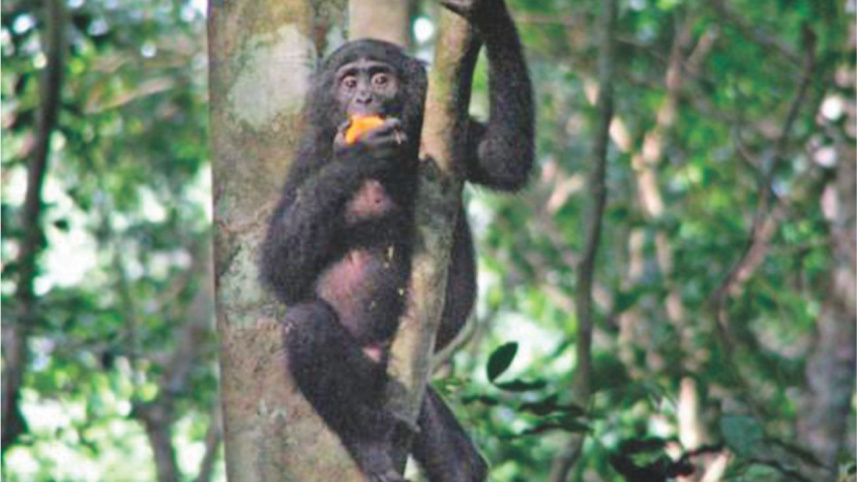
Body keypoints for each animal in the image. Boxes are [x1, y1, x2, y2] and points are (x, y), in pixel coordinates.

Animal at [259, 0, 533, 480]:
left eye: (380, 79)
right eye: (349, 81)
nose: (364, 99)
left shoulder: (455, 133)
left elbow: (501, 156)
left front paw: (487, 16)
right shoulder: (309, 156)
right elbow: (279, 265)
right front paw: (357, 154)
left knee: (462, 462)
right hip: (368, 375)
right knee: (305, 325)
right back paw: (368, 443)